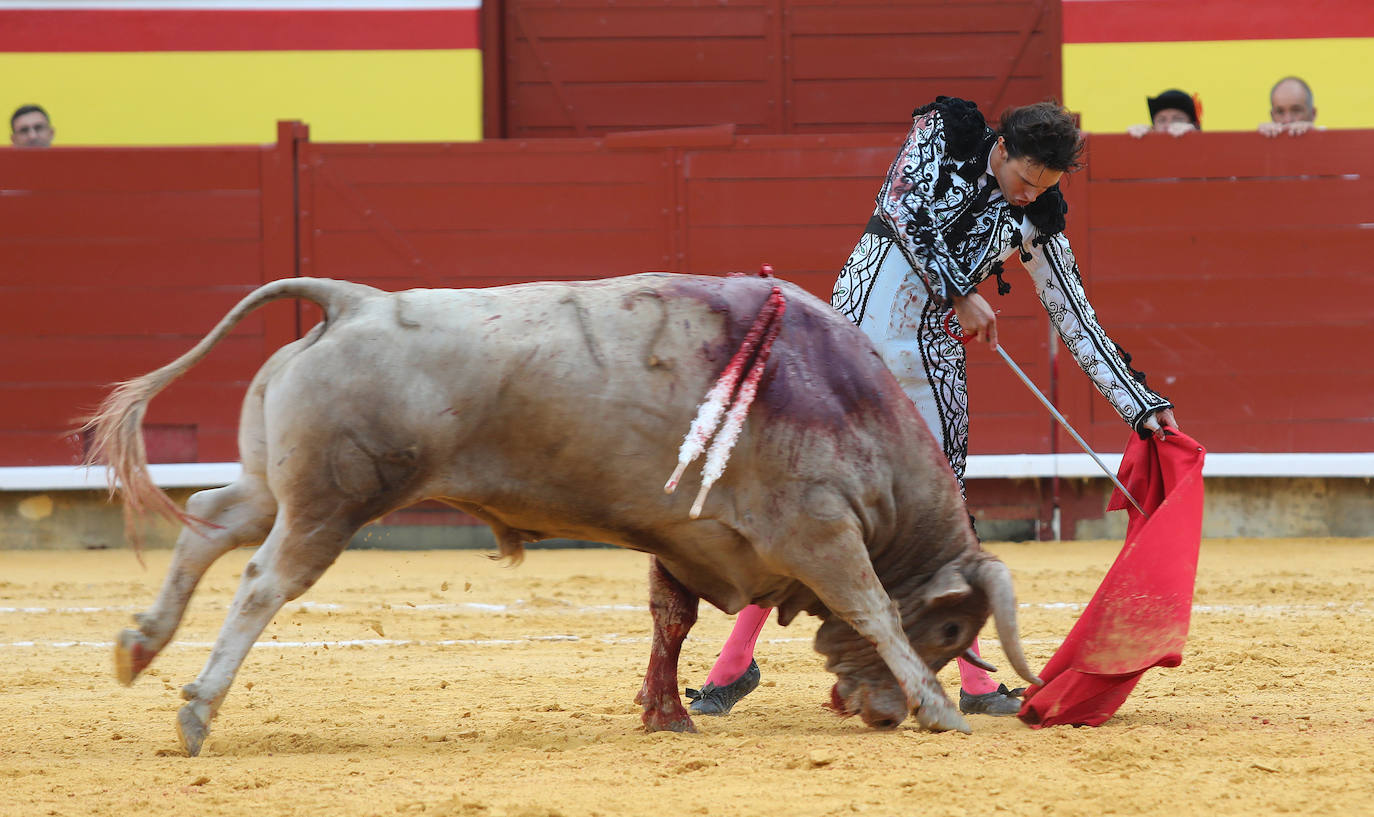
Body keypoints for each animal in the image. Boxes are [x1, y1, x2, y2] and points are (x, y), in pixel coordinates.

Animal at [85, 271, 1038, 757]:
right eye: (952, 631)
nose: (878, 711)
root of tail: (353, 299)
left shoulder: (684, 536)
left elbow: (670, 618)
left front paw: (666, 713)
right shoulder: (820, 527)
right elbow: (872, 605)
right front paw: (942, 706)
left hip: (278, 485)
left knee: (212, 516)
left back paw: (140, 644)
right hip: (332, 501)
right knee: (261, 580)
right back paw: (196, 708)